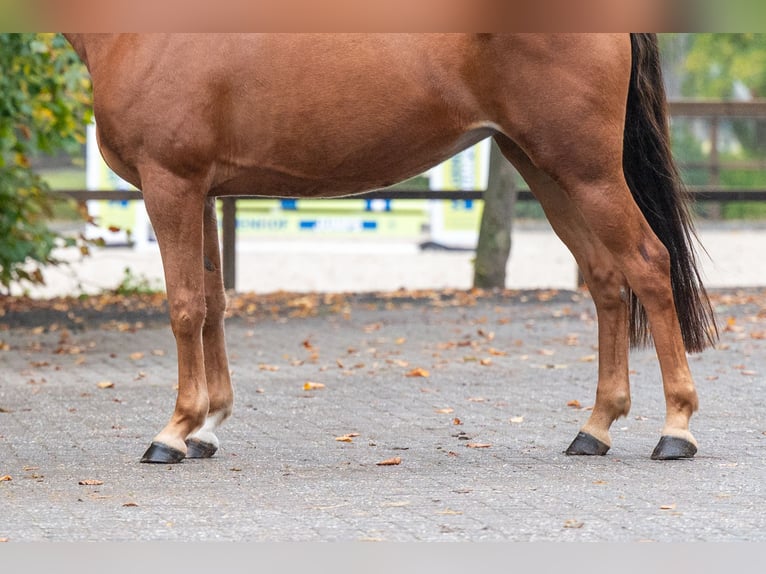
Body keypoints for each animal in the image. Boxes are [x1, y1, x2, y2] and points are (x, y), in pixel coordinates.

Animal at [63, 33, 718, 464]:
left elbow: (184, 307)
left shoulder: (170, 183)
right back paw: (595, 428)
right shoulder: (200, 191)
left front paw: (173, 432)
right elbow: (214, 304)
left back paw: (676, 430)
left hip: (585, 170)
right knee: (606, 279)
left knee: (648, 265)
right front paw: (208, 427)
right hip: (544, 167)